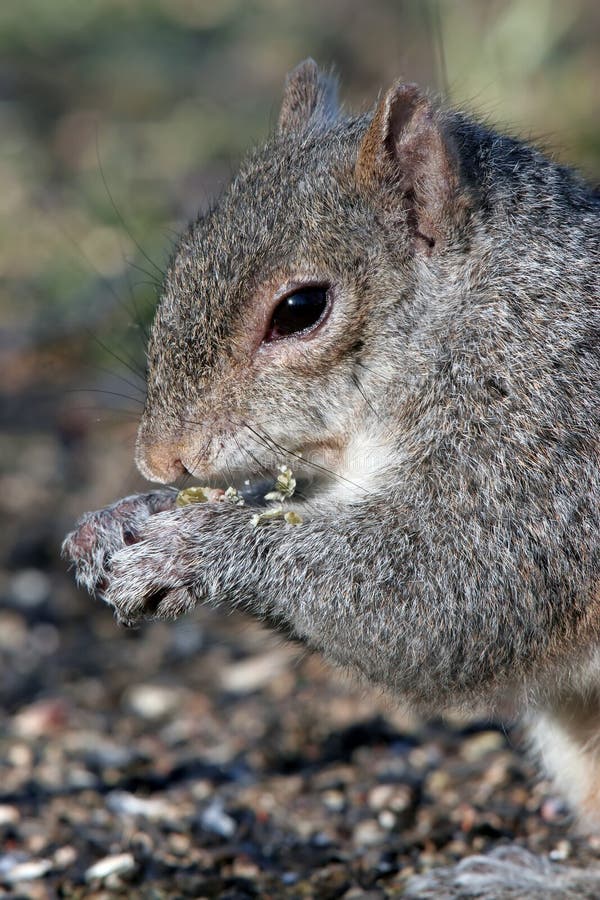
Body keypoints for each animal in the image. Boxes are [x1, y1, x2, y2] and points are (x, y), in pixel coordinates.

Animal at [64, 59, 600, 876]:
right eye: (183, 259)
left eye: (301, 308)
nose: (157, 459)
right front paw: (121, 520)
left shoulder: (547, 446)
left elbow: (453, 593)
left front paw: (194, 549)